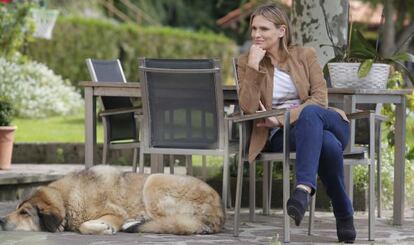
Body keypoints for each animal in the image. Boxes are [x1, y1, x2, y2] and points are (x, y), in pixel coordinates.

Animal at [0, 166, 225, 234]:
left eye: (24, 213)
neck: (66, 199)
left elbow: (84, 226)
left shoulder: (115, 213)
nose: (1, 221)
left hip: (153, 181)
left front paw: (104, 228)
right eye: (17, 209)